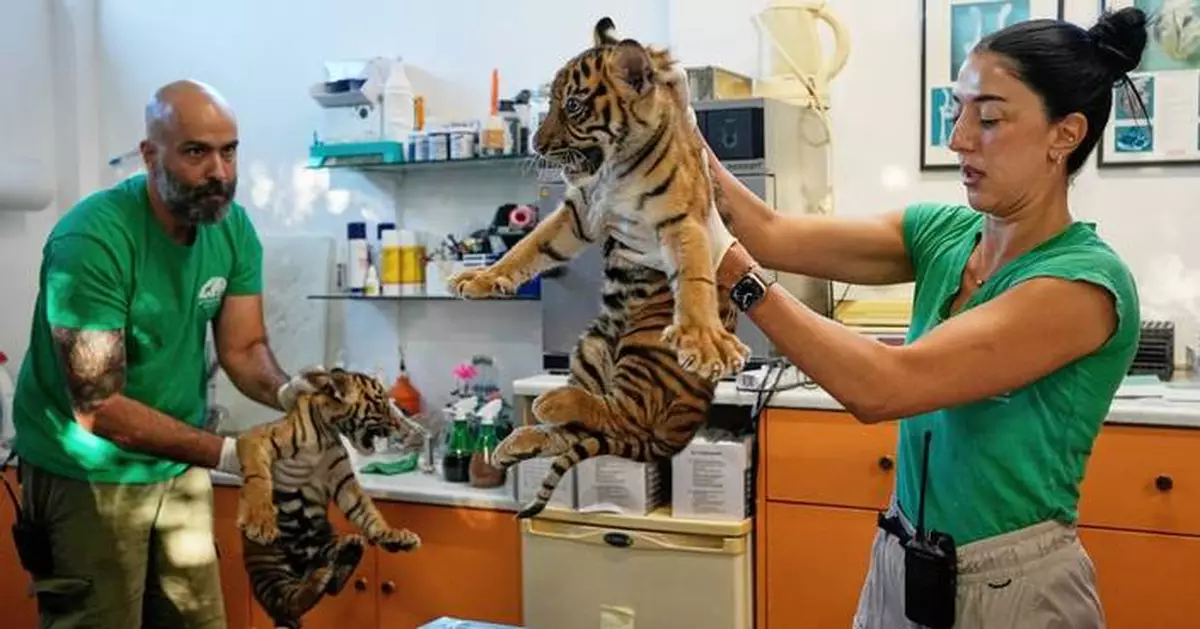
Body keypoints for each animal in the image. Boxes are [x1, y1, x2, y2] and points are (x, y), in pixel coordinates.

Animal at [234, 366, 427, 628]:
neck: (325, 432)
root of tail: (303, 565)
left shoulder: (343, 479)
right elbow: (258, 478)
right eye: (380, 402)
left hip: (325, 538)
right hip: (269, 561)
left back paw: (347, 554)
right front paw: (261, 523)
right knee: (288, 601)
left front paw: (390, 534)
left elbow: (367, 509)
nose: (400, 422)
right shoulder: (255, 438)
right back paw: (317, 577)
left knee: (330, 587)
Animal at [447, 17, 750, 518]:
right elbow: (529, 247)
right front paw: (482, 277)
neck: (615, 167)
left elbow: (694, 279)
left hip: (647, 348)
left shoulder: (680, 220)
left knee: (619, 415)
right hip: (591, 347)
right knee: (586, 428)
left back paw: (550, 402)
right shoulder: (579, 212)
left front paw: (704, 340)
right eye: (549, 102)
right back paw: (518, 439)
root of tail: (680, 430)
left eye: (572, 105)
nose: (537, 144)